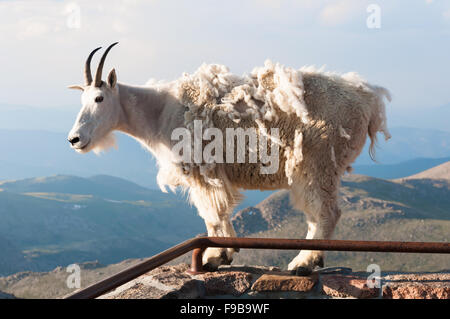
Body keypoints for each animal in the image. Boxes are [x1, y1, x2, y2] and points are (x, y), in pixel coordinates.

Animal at [67, 43, 390, 276]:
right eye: (81, 100)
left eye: (99, 99)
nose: (75, 139)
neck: (158, 112)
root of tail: (370, 100)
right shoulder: (212, 173)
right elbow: (218, 213)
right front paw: (225, 252)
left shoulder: (201, 171)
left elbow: (211, 213)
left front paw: (214, 256)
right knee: (318, 214)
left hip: (317, 163)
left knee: (326, 213)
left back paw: (304, 263)